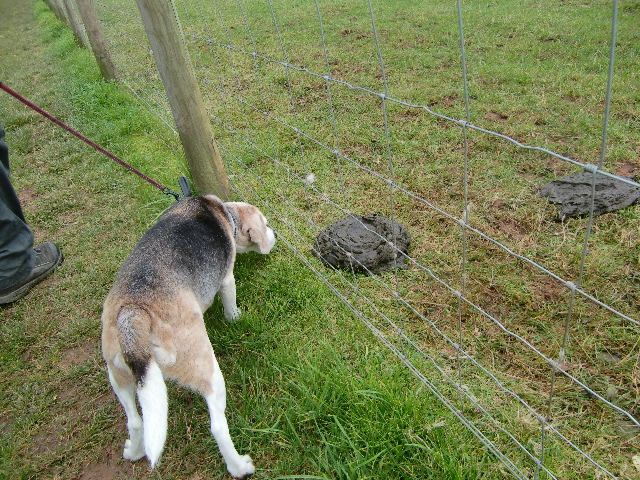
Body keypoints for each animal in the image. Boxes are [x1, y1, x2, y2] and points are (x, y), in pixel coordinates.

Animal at [101, 194, 276, 476]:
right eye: (266, 223)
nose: (275, 234)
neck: (223, 213)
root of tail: (135, 312)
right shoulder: (227, 280)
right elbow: (230, 304)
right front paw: (236, 317)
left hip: (118, 374)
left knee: (136, 422)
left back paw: (134, 451)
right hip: (207, 370)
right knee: (217, 427)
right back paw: (239, 467)